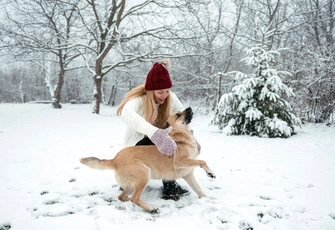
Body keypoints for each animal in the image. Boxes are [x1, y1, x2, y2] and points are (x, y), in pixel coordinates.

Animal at [80, 107, 217, 213]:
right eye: (178, 114)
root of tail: (115, 159)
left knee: (122, 196)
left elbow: (199, 190)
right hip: (145, 174)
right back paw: (150, 208)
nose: (189, 107)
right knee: (134, 198)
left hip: (134, 183)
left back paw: (130, 201)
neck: (179, 136)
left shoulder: (189, 175)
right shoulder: (179, 162)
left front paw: (208, 198)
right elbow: (202, 161)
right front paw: (210, 173)